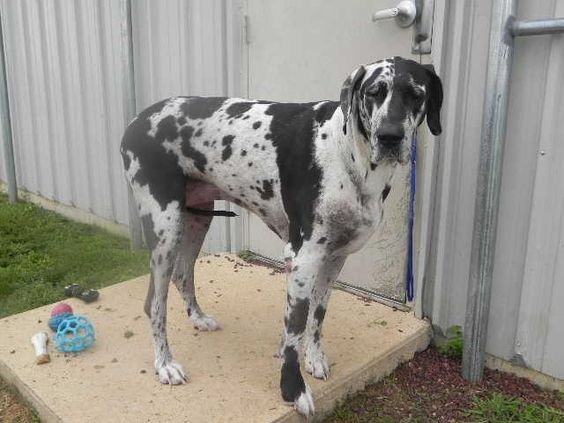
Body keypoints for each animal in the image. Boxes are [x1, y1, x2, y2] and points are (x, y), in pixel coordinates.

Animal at [121, 58, 442, 420]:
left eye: (416, 94)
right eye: (374, 91)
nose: (390, 137)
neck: (346, 156)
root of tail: (137, 120)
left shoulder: (335, 259)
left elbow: (316, 315)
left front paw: (313, 358)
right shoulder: (303, 259)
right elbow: (295, 328)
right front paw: (293, 389)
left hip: (197, 219)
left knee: (183, 273)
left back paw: (198, 318)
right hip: (165, 229)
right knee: (154, 303)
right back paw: (165, 363)